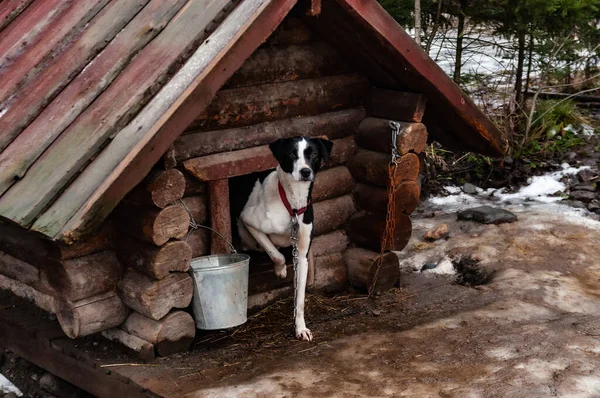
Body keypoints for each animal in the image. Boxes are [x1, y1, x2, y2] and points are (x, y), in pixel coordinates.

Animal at [238, 138, 332, 342]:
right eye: (291, 154)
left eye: (313, 154)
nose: (305, 172)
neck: (292, 204)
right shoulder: (248, 220)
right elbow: (276, 254)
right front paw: (280, 270)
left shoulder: (303, 255)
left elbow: (300, 299)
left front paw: (300, 328)